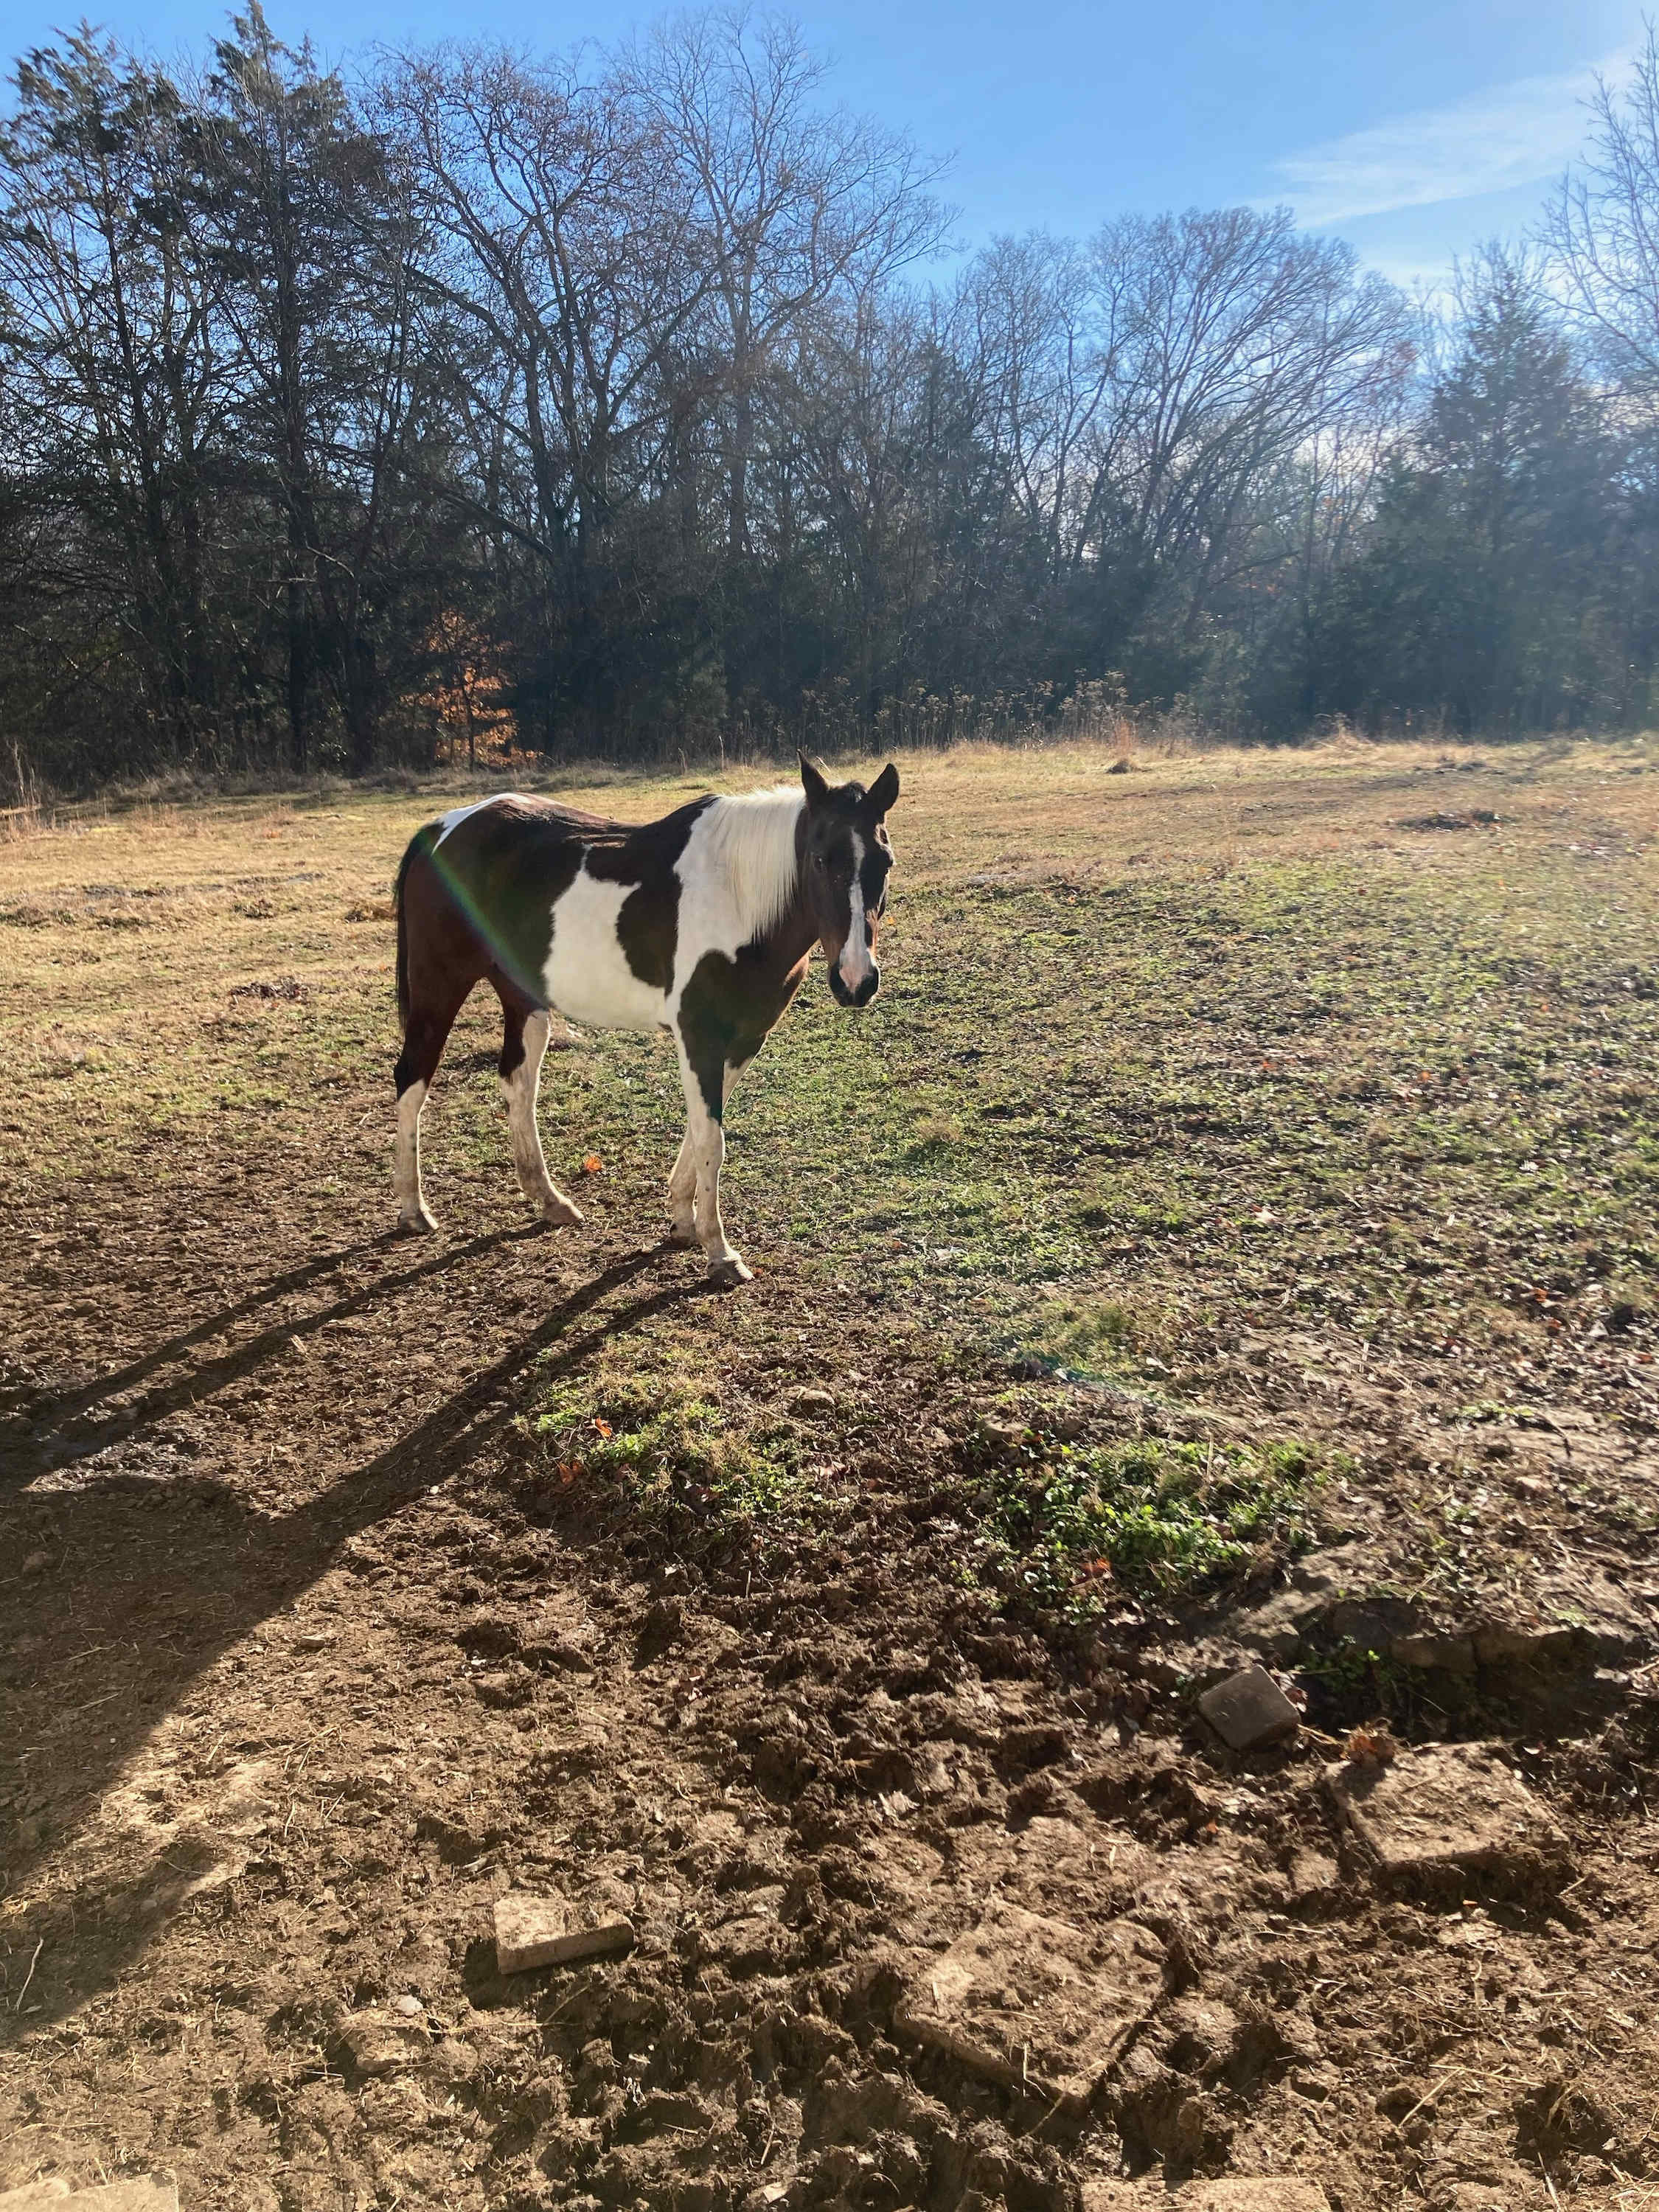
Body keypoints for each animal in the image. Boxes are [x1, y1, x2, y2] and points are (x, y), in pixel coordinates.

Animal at [390, 754, 900, 1287]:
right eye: (820, 859)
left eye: (884, 863)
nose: (855, 980)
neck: (739, 898)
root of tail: (440, 830)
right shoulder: (699, 1034)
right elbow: (712, 1140)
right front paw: (720, 1252)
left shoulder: (744, 1039)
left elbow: (703, 1130)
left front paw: (682, 1220)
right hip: (438, 986)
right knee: (413, 1079)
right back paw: (413, 1209)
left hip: (523, 998)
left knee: (518, 1084)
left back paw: (549, 1201)